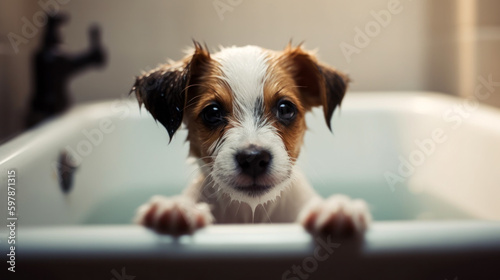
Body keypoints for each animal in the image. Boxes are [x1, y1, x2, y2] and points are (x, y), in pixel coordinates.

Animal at [131, 42, 370, 236]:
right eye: (212, 112)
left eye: (285, 108)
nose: (254, 158)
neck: (251, 214)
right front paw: (175, 209)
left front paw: (335, 210)